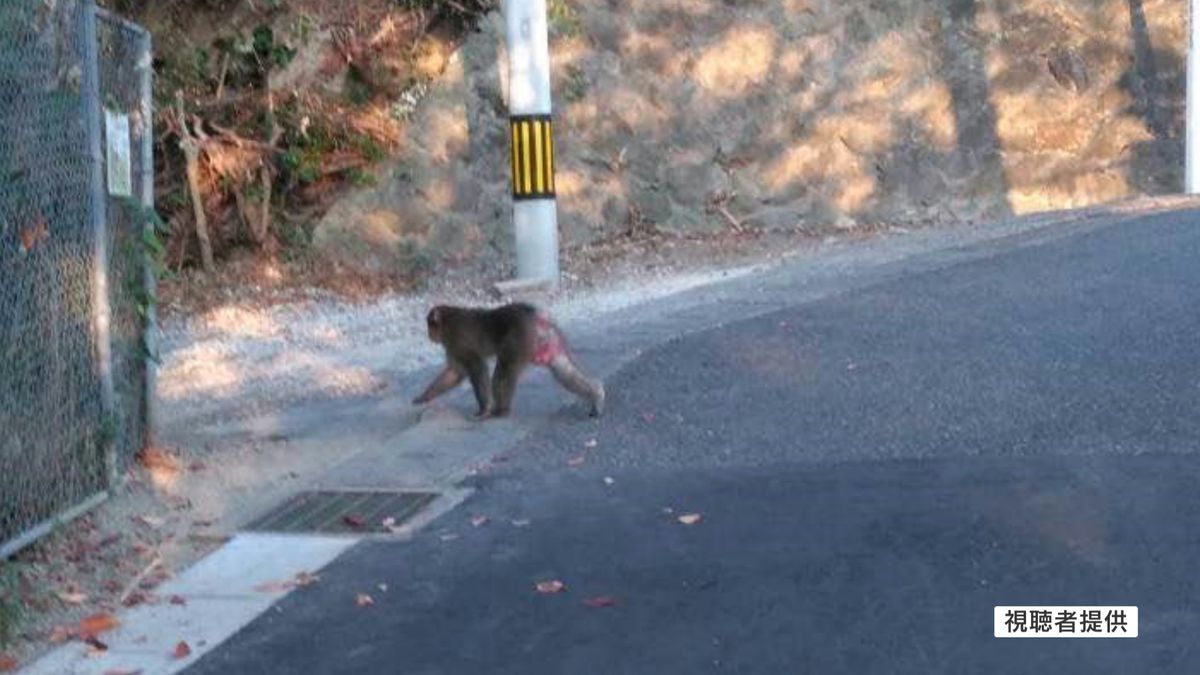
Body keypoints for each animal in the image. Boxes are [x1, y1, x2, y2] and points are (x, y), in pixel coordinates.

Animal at [412, 302, 604, 417]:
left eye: (430, 325)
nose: (429, 334)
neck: (448, 320)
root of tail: (537, 316)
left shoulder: (457, 340)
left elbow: (476, 367)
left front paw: (483, 409)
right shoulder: (452, 347)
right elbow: (454, 373)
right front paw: (424, 397)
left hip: (519, 339)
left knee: (503, 371)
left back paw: (501, 410)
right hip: (547, 340)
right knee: (562, 368)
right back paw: (596, 395)